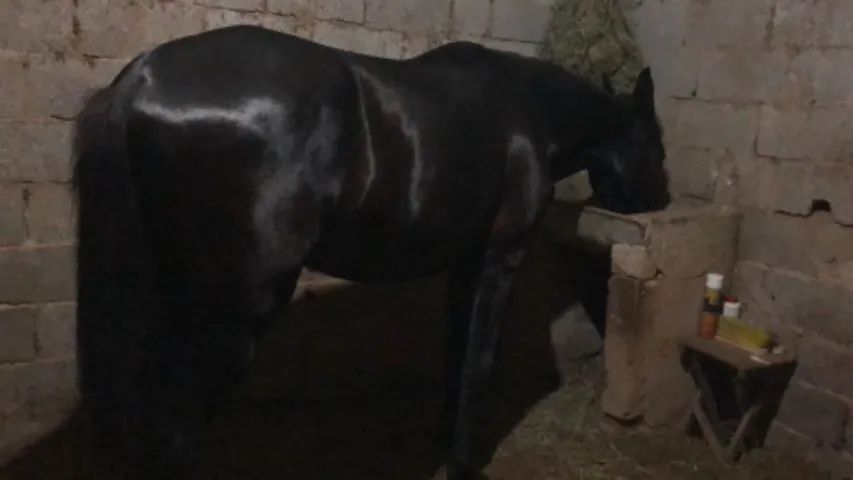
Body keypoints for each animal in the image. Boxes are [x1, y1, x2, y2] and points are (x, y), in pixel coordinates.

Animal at [72, 25, 670, 480]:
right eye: (656, 145)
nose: (661, 202)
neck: (528, 112)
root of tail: (142, 77)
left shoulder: (465, 262)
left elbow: (455, 355)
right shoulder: (500, 256)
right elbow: (478, 361)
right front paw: (463, 464)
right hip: (235, 312)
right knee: (176, 429)